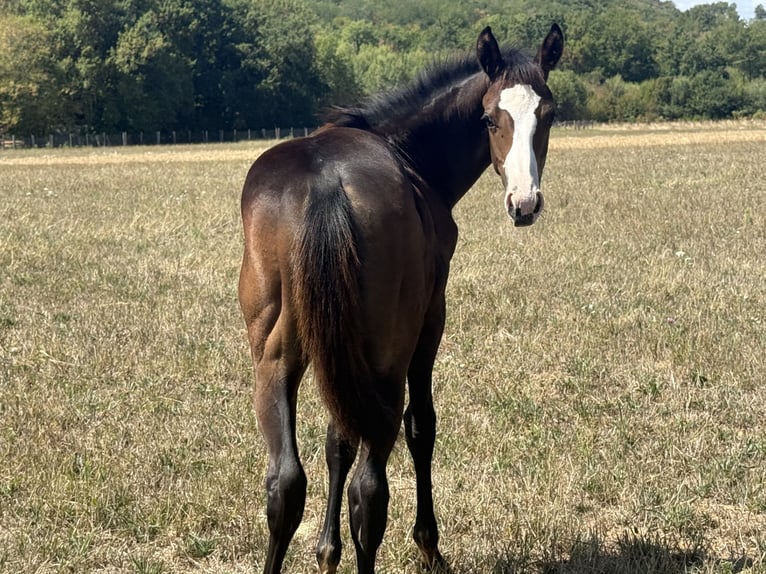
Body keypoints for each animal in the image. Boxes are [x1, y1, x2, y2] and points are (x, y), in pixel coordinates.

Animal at [238, 24, 564, 574]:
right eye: (489, 118)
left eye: (548, 114)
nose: (524, 203)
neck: (409, 153)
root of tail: (326, 185)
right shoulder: (431, 318)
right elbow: (421, 427)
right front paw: (429, 545)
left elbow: (338, 439)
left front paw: (326, 554)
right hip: (388, 353)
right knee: (371, 489)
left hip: (276, 354)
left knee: (285, 483)